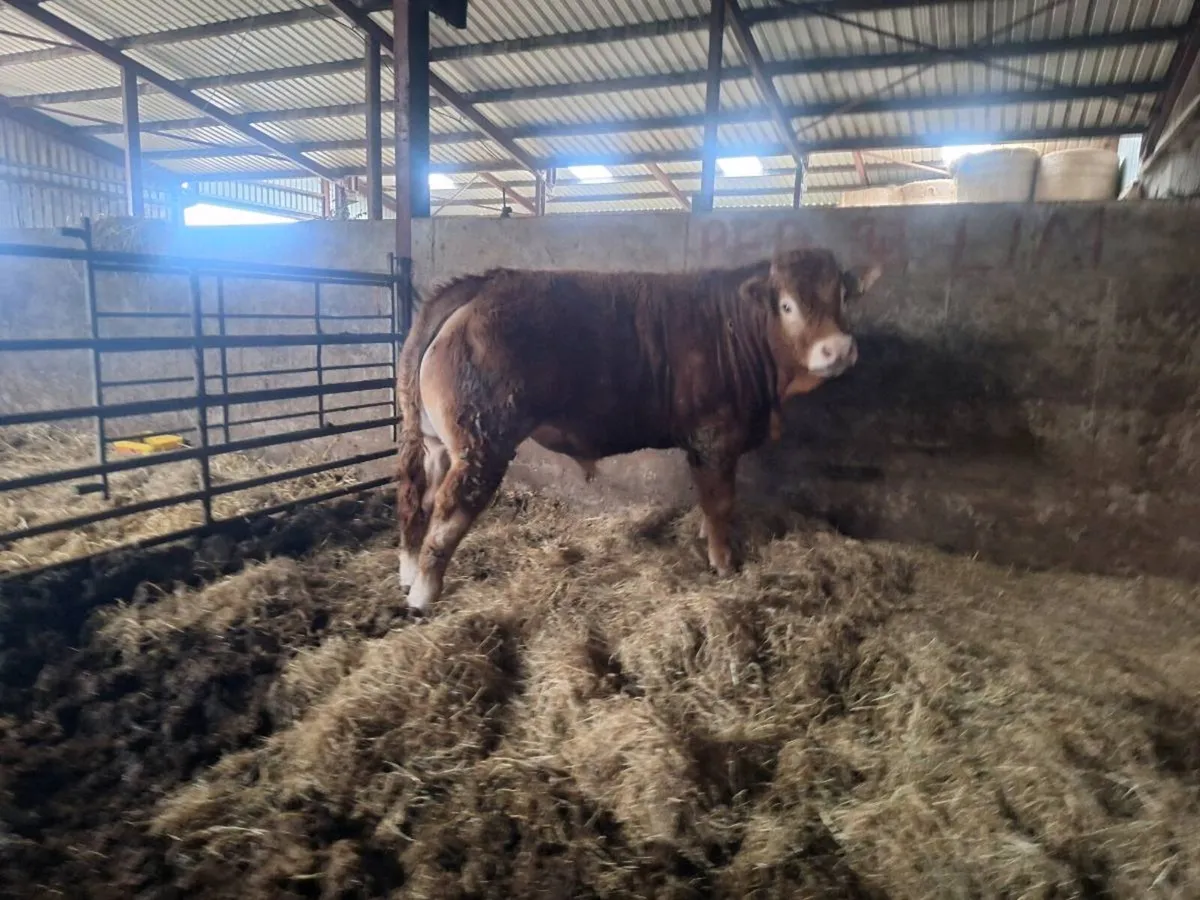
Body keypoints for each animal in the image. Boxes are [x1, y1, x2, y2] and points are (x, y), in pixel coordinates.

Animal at [395, 247, 881, 613]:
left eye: (842, 296)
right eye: (787, 305)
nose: (837, 349)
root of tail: (484, 283)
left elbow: (708, 502)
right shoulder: (716, 437)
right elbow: (721, 502)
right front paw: (723, 563)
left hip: (436, 442)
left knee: (418, 496)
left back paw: (408, 570)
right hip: (483, 441)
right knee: (450, 506)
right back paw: (423, 592)